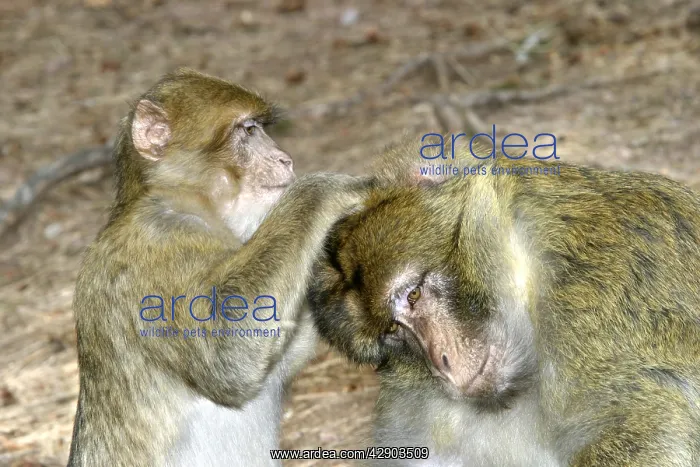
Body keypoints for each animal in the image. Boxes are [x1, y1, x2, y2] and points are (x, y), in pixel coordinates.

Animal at [67, 68, 369, 467]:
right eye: (248, 130)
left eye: (259, 128)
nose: (285, 159)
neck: (190, 204)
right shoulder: (158, 246)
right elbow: (225, 352)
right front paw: (323, 189)